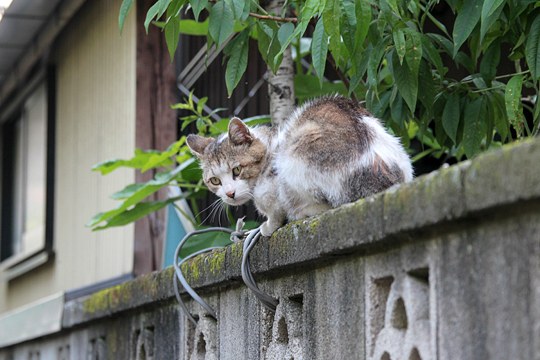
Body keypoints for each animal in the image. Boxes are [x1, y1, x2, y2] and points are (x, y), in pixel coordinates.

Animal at [187, 95, 414, 236]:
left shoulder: (271, 190)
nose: (229, 193)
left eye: (237, 170)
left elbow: (275, 210)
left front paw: (267, 226)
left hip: (295, 154)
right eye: (214, 180)